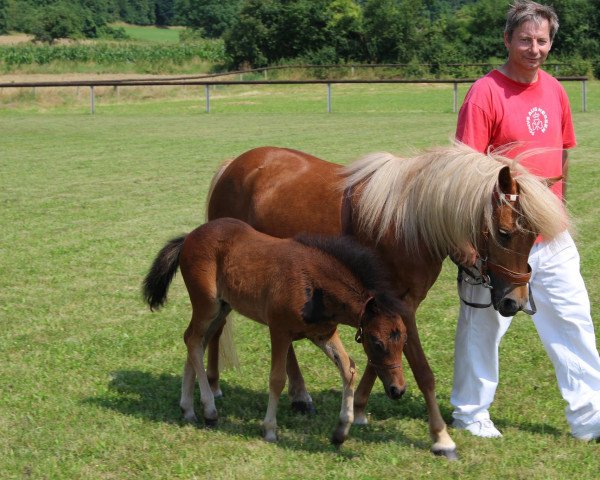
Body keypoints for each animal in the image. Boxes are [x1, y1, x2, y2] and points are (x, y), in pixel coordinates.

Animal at [144, 219, 410, 444]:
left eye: (403, 341)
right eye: (377, 342)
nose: (397, 390)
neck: (315, 287)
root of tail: (190, 236)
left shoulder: (323, 334)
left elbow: (348, 368)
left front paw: (341, 430)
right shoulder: (279, 331)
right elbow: (277, 379)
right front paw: (270, 429)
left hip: (222, 308)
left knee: (197, 343)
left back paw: (188, 409)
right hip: (206, 304)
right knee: (192, 339)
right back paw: (209, 410)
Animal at [205, 142, 568, 458]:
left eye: (533, 237)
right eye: (505, 233)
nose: (514, 301)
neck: (409, 220)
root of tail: (234, 165)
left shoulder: (396, 305)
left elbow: (379, 353)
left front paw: (360, 408)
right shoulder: (399, 304)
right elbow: (422, 371)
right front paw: (441, 437)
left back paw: (299, 394)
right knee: (218, 325)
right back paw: (213, 385)